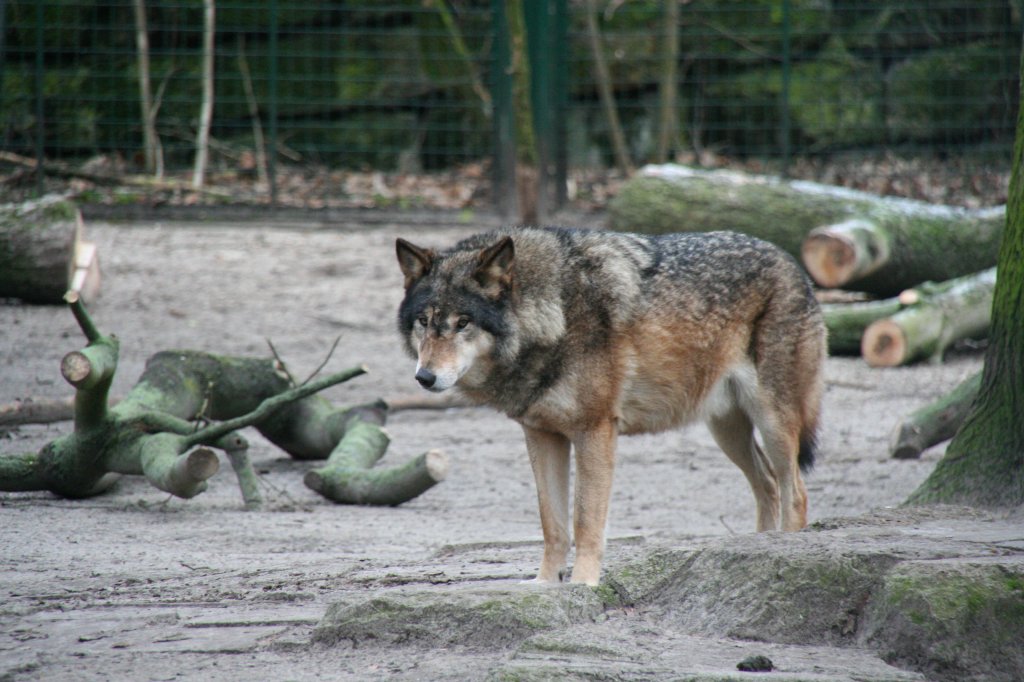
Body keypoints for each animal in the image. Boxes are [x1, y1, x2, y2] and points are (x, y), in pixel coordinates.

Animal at [395, 227, 827, 585]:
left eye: (463, 322)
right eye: (424, 321)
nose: (425, 377)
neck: (555, 313)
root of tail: (790, 260)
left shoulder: (595, 431)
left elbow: (585, 521)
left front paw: (583, 584)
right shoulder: (541, 435)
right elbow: (553, 524)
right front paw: (545, 585)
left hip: (772, 422)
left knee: (796, 493)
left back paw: (786, 552)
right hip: (727, 430)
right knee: (767, 484)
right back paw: (756, 551)